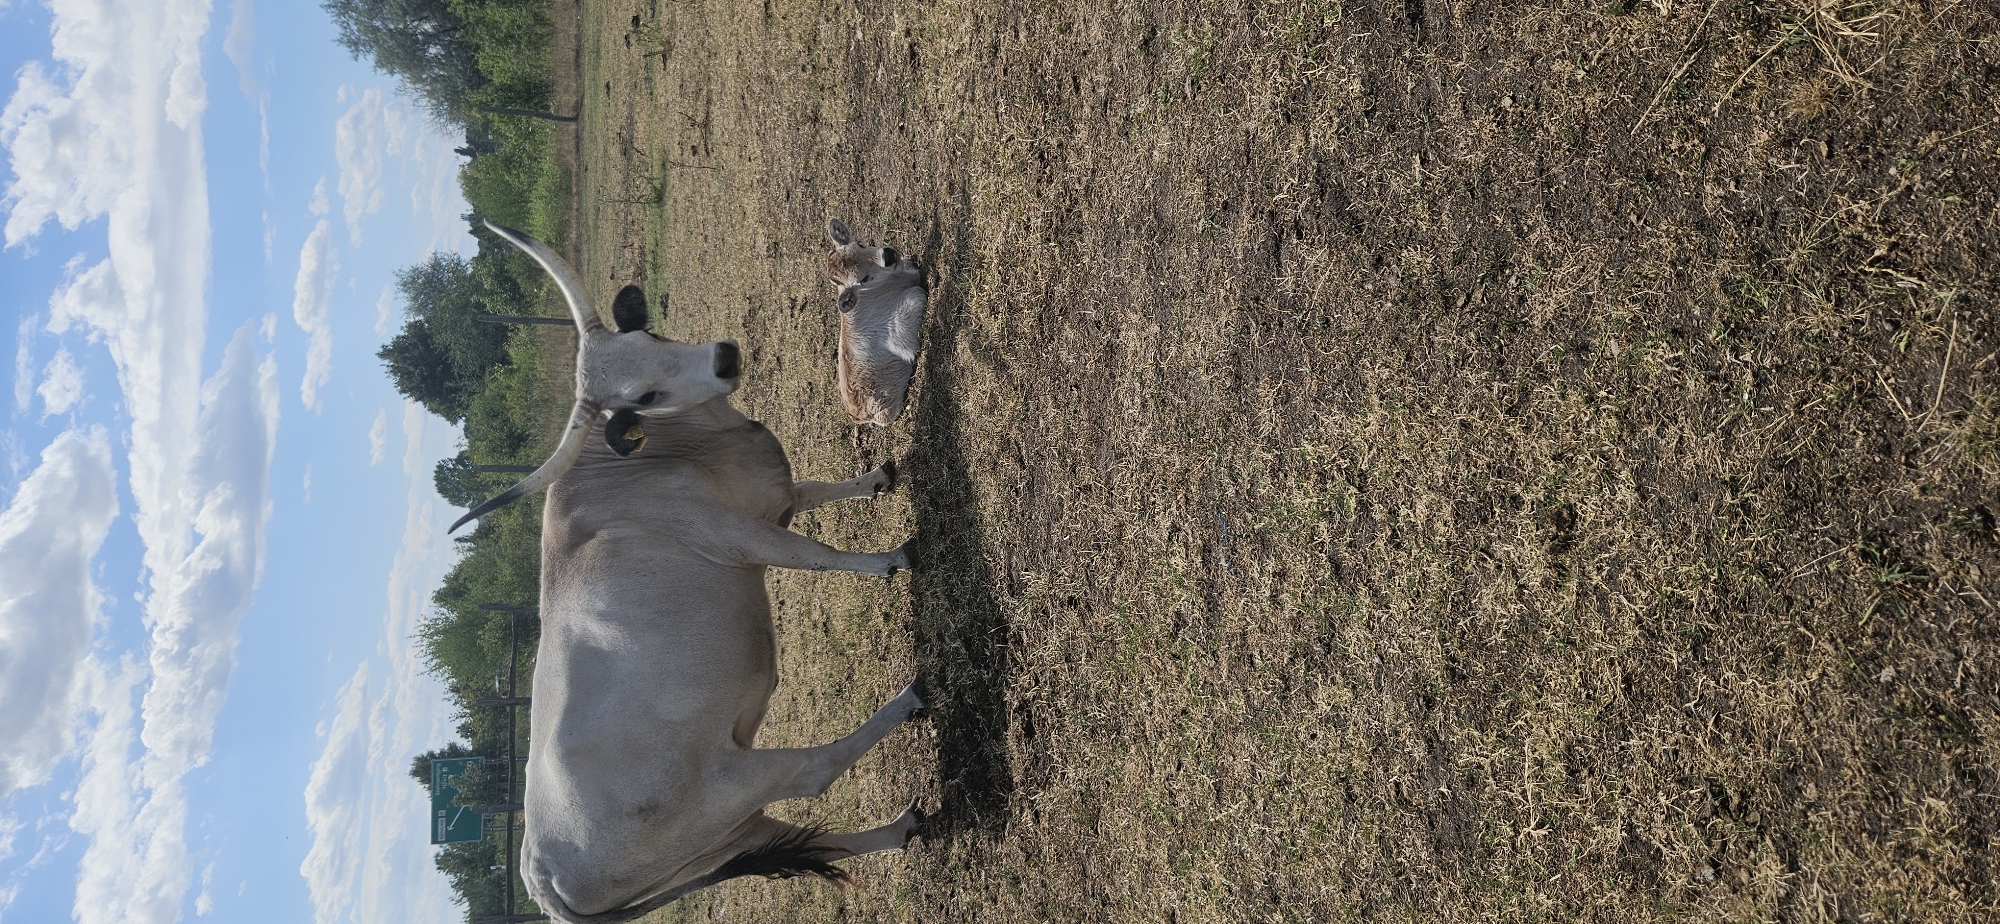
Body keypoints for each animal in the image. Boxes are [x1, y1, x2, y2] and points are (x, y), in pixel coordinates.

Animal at [824, 218, 926, 426]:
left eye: (860, 244)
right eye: (863, 279)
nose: (887, 256)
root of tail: (856, 415)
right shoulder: (901, 329)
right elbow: (918, 294)